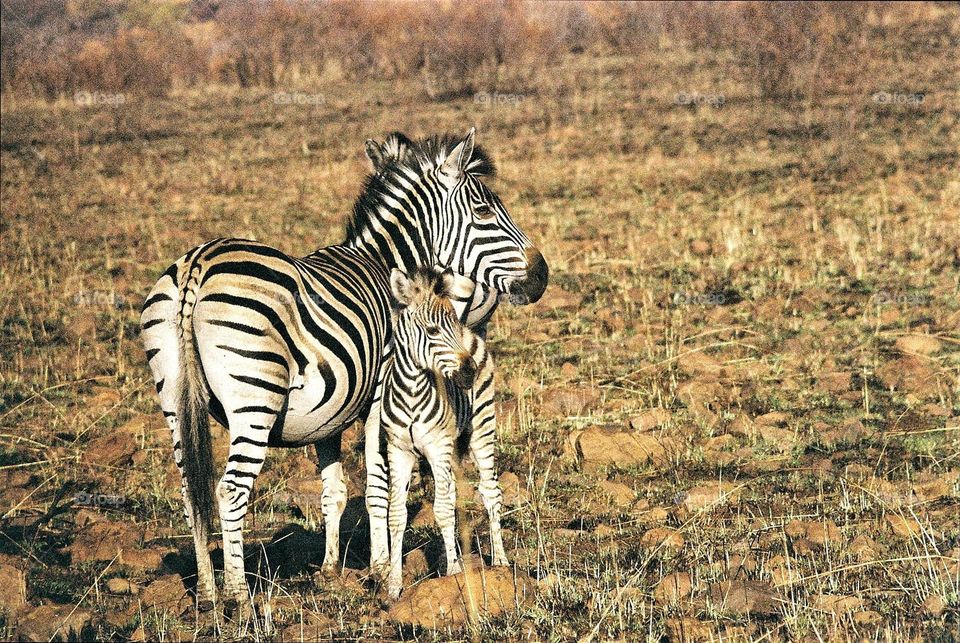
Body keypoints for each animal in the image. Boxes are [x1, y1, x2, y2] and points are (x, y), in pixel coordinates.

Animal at [380, 266, 510, 600]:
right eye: (432, 330)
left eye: (449, 325)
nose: (468, 373)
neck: (412, 393)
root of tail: (471, 332)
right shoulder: (398, 450)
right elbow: (396, 514)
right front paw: (394, 585)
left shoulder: (437, 447)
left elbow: (440, 509)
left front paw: (452, 571)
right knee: (452, 495)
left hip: (482, 429)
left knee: (490, 492)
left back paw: (500, 560)